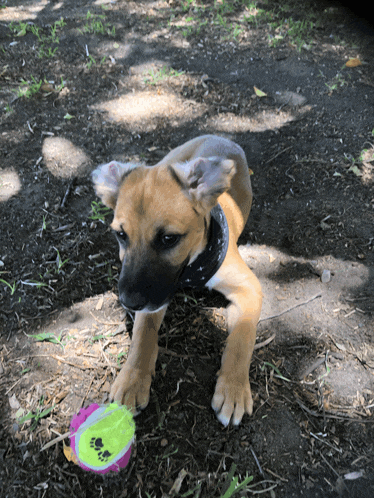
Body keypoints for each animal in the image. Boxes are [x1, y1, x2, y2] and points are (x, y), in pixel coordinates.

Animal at [93, 134, 262, 426]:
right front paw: (132, 379)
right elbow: (142, 336)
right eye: (121, 235)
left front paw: (233, 390)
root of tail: (217, 136)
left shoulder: (250, 287)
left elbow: (243, 337)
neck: (191, 266)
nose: (127, 302)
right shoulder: (155, 296)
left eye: (169, 238)